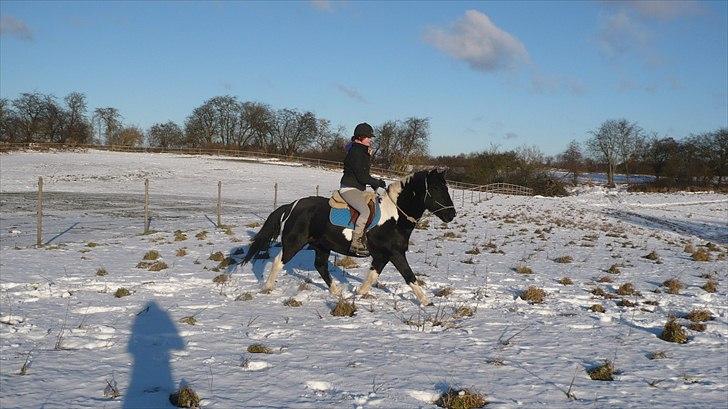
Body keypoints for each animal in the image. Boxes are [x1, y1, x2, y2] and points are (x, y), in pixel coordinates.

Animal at [241, 167, 456, 305]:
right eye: (436, 188)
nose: (451, 215)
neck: (395, 215)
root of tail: (292, 205)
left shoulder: (382, 256)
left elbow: (372, 276)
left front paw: (359, 294)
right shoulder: (395, 254)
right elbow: (409, 276)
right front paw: (426, 302)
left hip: (321, 246)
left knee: (320, 266)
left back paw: (337, 292)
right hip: (294, 242)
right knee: (279, 262)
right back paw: (267, 288)